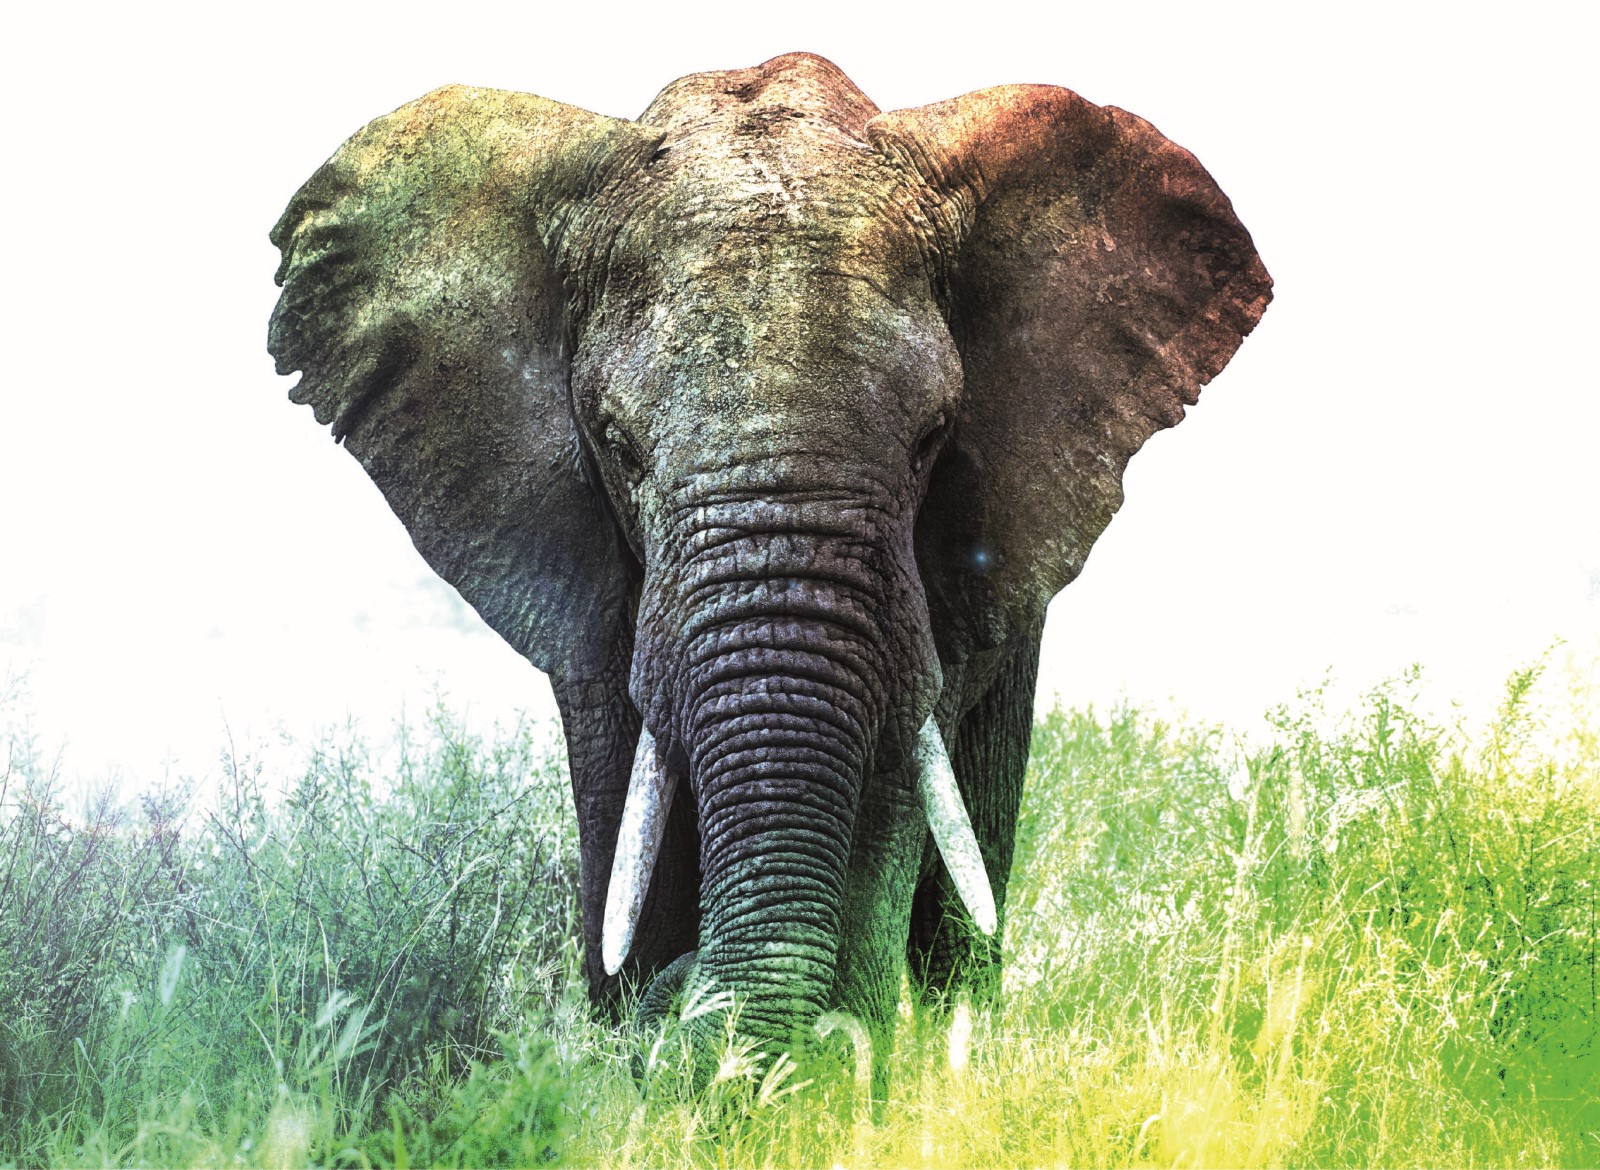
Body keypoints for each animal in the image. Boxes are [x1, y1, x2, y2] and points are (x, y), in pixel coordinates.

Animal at [267, 51, 1270, 1088]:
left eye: (933, 438)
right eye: (618, 445)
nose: (678, 1000)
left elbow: (893, 786)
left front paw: (834, 1075)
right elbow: (625, 795)